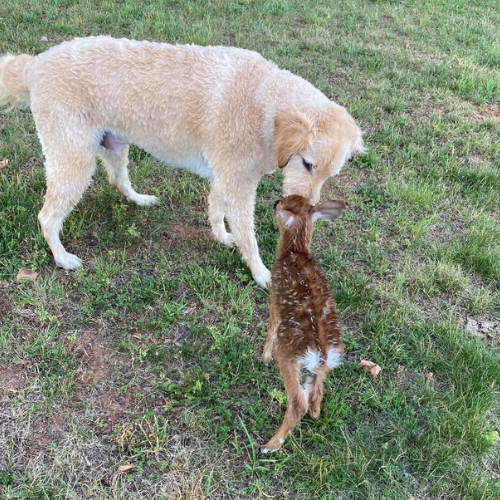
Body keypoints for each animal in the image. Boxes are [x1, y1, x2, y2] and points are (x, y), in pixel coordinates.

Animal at [0, 36, 362, 286]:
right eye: (307, 164)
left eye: (329, 175)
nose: (308, 211)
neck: (265, 102)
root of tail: (35, 64)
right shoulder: (238, 185)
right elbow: (249, 237)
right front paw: (261, 274)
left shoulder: (224, 178)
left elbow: (216, 210)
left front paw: (221, 237)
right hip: (73, 161)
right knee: (47, 217)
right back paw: (62, 258)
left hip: (113, 144)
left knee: (118, 180)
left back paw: (140, 199)